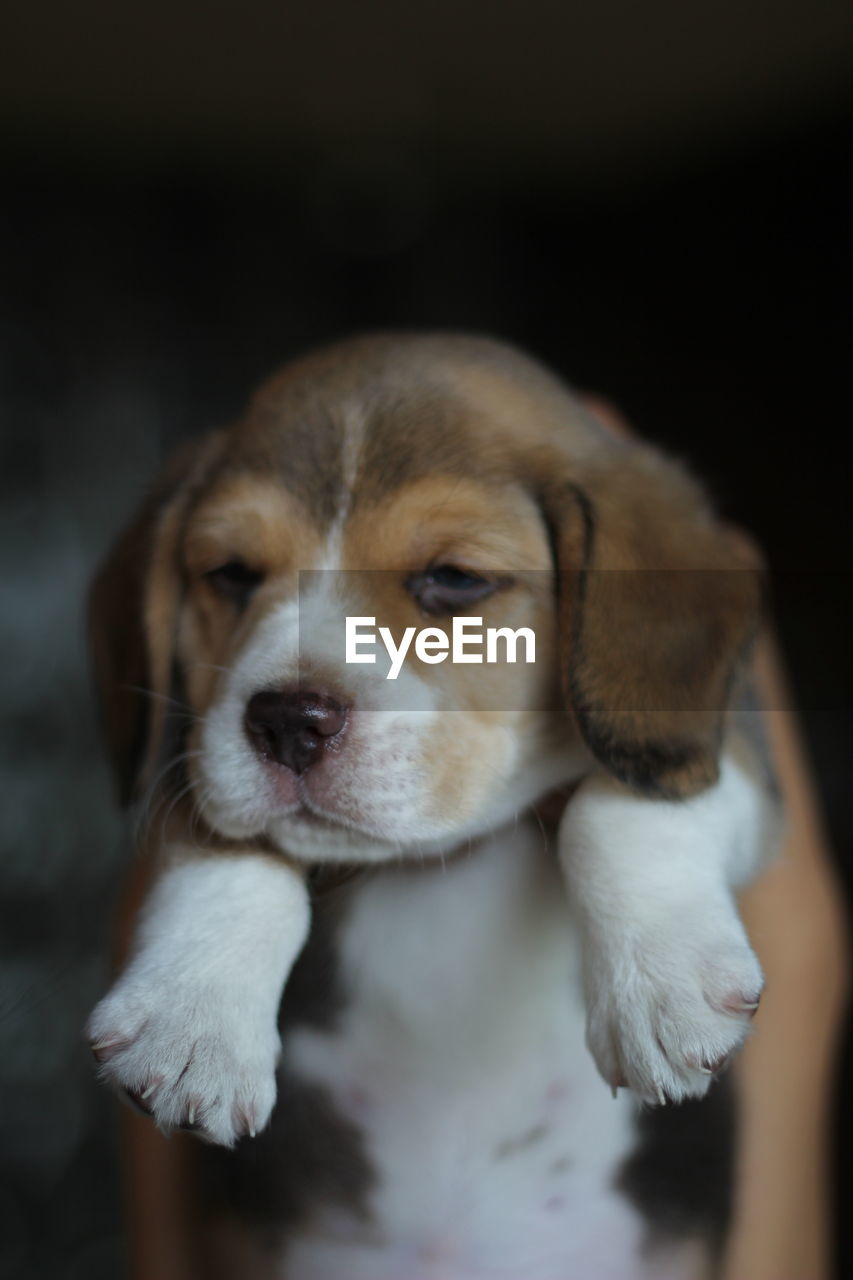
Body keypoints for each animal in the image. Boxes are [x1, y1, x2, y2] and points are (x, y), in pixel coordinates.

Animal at [84, 335, 778, 1274]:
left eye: (453, 579)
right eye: (231, 574)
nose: (286, 722)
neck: (430, 863)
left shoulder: (718, 746)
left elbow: (613, 802)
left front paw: (663, 986)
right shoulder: (194, 750)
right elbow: (224, 839)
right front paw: (191, 1017)